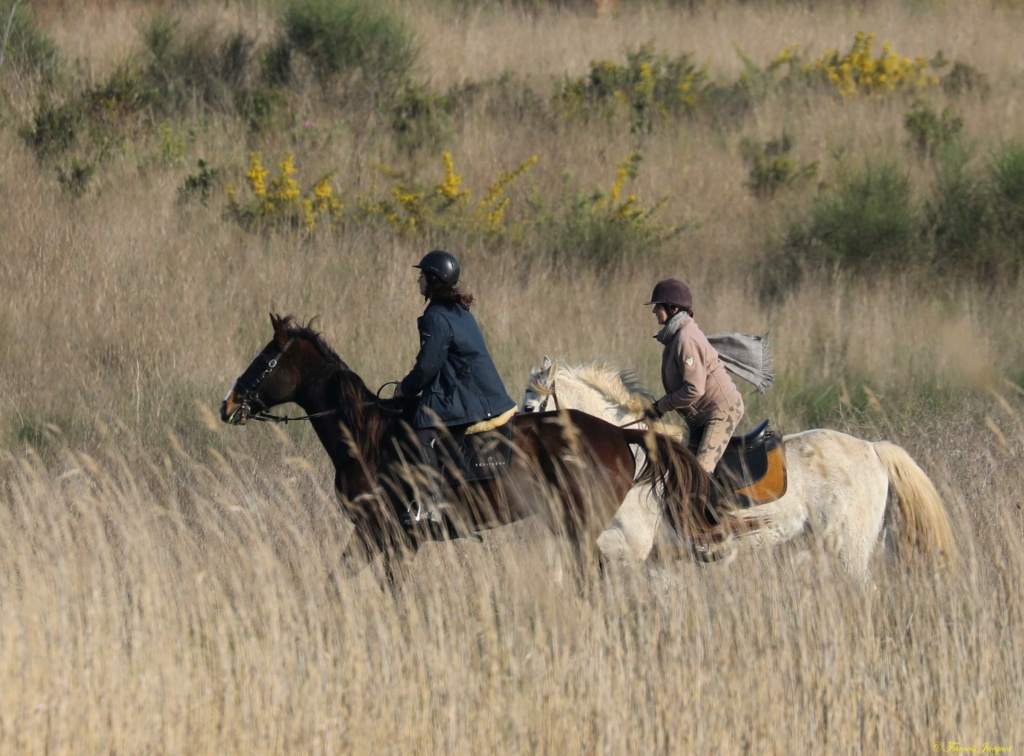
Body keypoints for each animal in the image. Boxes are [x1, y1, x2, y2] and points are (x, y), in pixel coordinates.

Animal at [219, 311, 708, 577]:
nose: (228, 404)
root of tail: (620, 433)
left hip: (583, 528)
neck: (365, 436)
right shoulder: (371, 533)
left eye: (266, 358)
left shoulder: (396, 537)